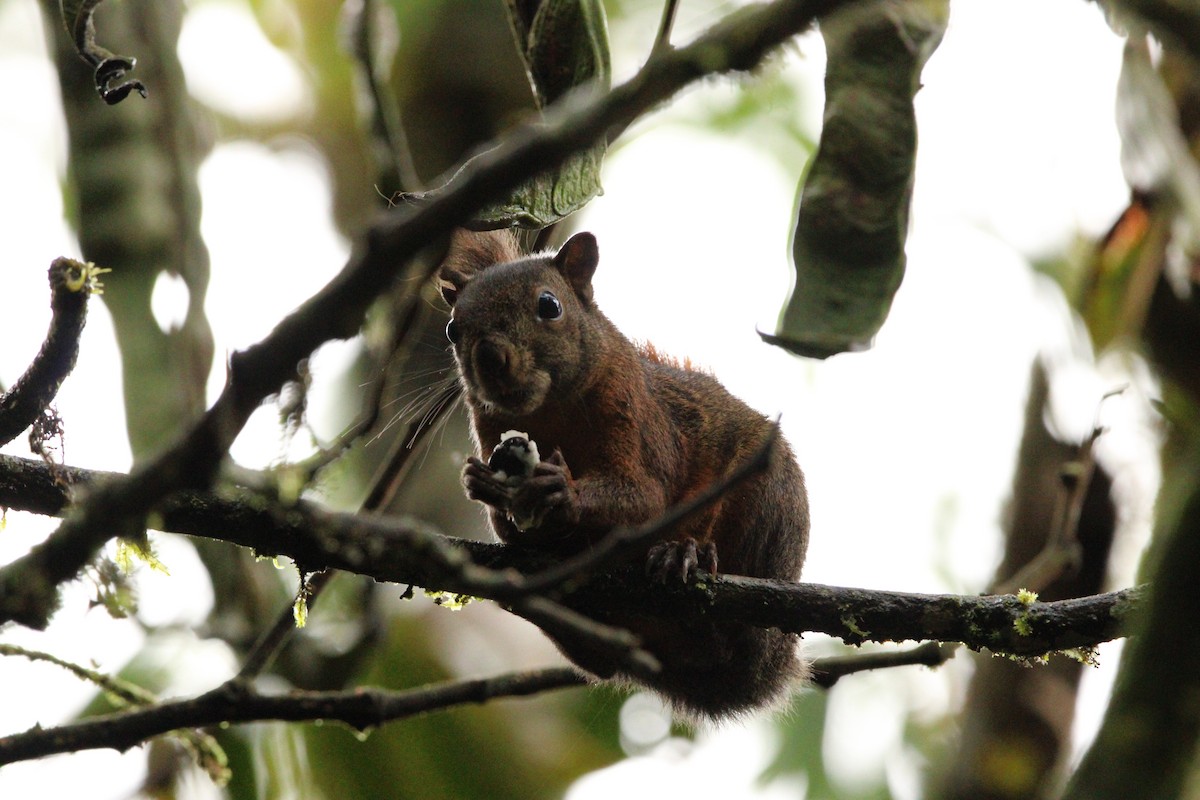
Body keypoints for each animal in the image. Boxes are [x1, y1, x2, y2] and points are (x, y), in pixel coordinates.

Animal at [437, 228, 810, 721]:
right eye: (452, 329)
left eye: (549, 305)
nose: (490, 357)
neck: (551, 413)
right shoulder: (487, 426)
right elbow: (511, 530)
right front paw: (483, 486)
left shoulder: (636, 417)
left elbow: (646, 497)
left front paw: (562, 490)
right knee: (599, 660)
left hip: (769, 504)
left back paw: (687, 553)